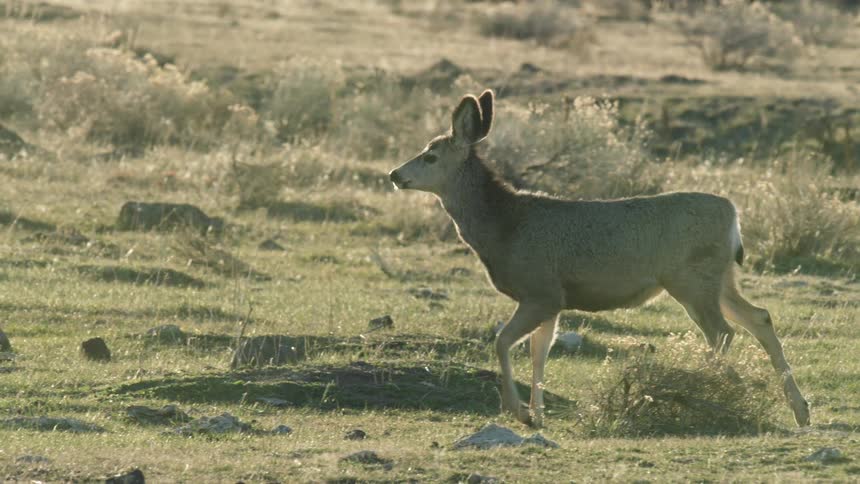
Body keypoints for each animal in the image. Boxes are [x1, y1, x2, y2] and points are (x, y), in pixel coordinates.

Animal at [388, 89, 810, 429]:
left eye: (430, 156)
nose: (394, 174)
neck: (504, 226)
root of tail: (734, 215)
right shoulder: (553, 299)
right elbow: (539, 352)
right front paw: (538, 416)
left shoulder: (539, 289)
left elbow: (503, 342)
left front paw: (519, 411)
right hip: (718, 278)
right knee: (759, 317)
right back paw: (799, 410)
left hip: (690, 277)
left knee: (723, 332)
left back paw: (713, 390)